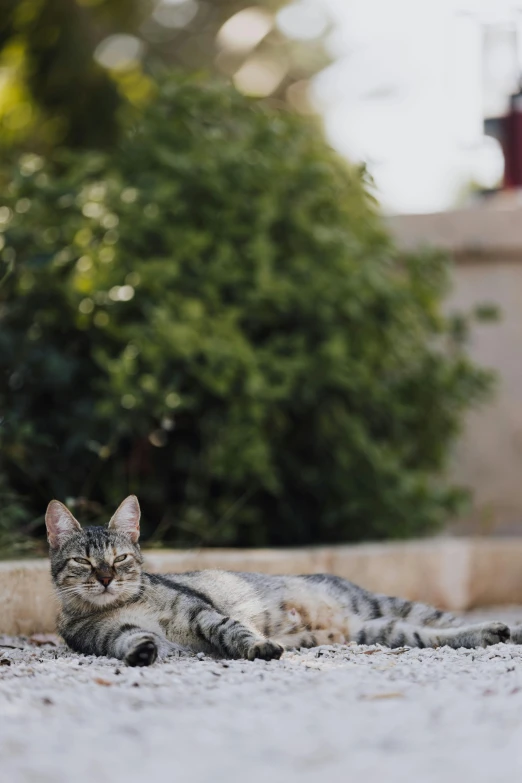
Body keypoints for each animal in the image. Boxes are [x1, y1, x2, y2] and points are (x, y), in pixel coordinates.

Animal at [46, 496, 510, 668]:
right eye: (84, 562)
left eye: (120, 558)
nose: (106, 578)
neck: (122, 604)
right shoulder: (103, 637)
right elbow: (129, 640)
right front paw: (142, 650)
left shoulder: (201, 612)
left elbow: (232, 631)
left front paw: (259, 647)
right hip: (385, 630)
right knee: (438, 636)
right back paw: (490, 634)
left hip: (387, 606)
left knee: (447, 621)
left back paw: (507, 630)